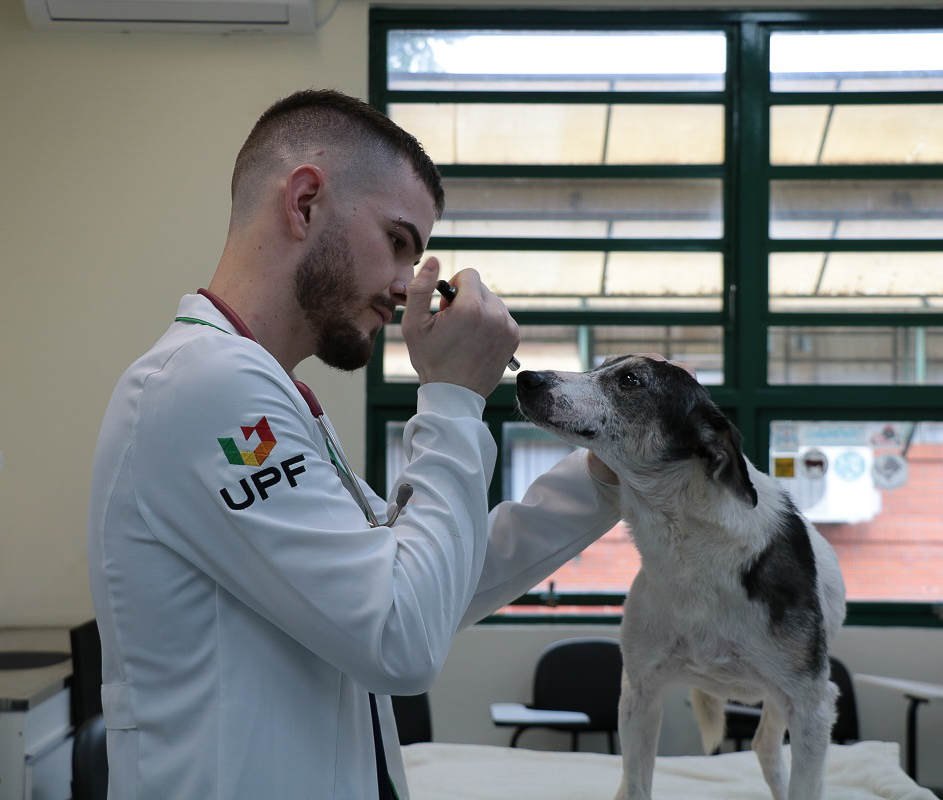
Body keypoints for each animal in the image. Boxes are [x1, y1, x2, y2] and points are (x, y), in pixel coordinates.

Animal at [516, 356, 848, 800]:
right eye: (603, 365)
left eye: (630, 380)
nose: (525, 378)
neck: (687, 552)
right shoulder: (639, 694)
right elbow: (636, 785)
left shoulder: (812, 705)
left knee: (765, 746)